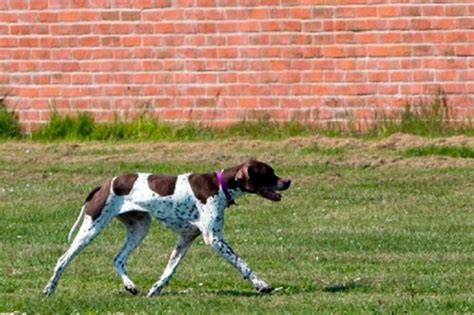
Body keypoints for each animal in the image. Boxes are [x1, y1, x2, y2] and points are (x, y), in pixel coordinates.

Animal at [43, 159, 288, 298]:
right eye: (269, 173)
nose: (288, 181)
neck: (220, 185)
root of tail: (103, 184)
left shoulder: (186, 239)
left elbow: (169, 270)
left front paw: (156, 289)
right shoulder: (214, 239)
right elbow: (242, 264)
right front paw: (261, 285)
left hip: (139, 228)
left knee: (118, 259)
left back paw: (130, 286)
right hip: (91, 229)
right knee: (63, 259)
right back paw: (49, 289)